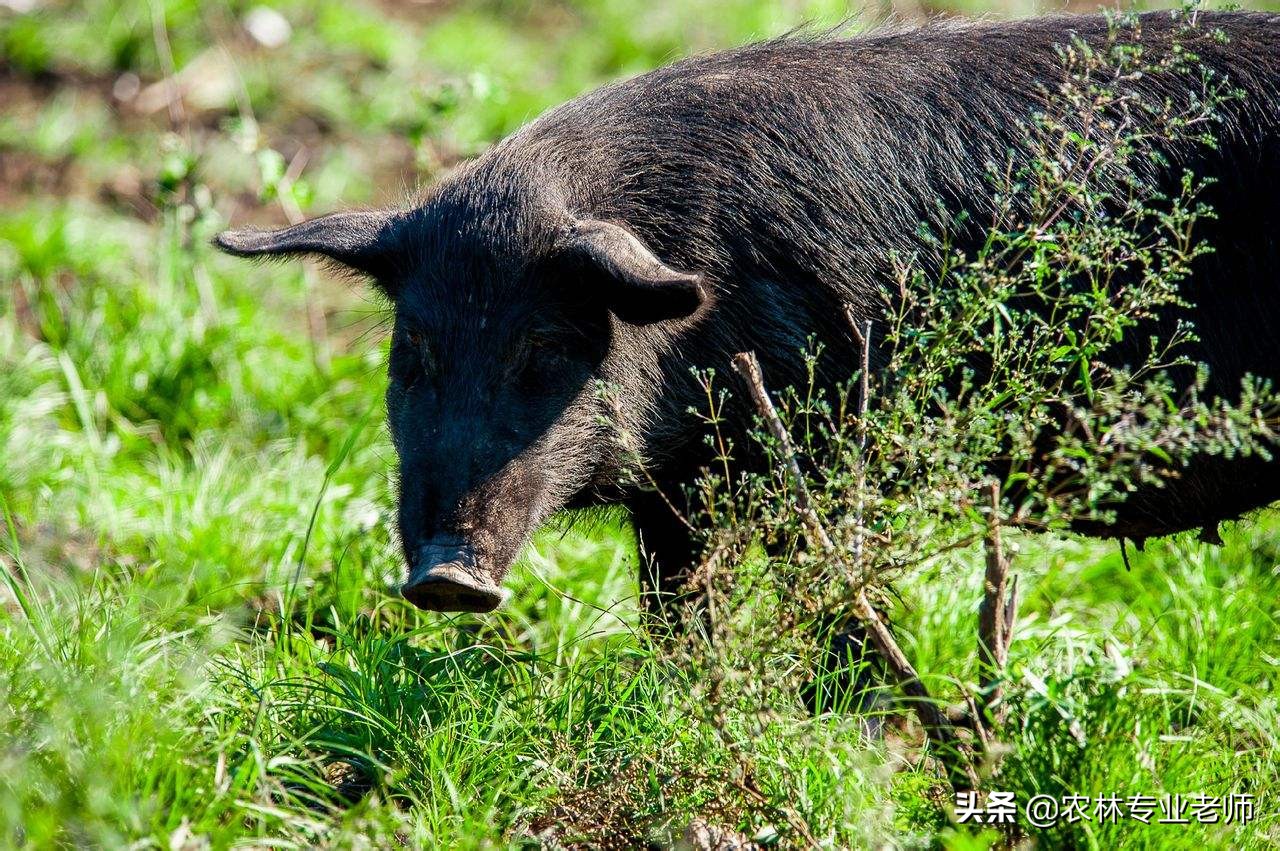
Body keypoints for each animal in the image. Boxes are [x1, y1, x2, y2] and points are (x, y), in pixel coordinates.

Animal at [220, 11, 1280, 611]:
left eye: (549, 348)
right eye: (415, 354)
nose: (445, 577)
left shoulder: (828, 441)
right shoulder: (677, 493)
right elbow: (678, 617)